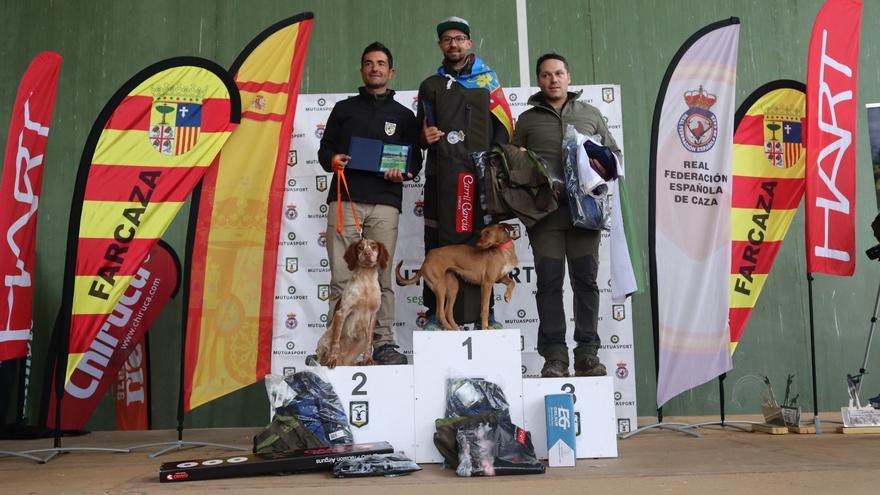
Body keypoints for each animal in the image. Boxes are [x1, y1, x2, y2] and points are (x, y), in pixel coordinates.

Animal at [314, 238, 386, 370]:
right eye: (360, 247)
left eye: (374, 247)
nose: (367, 253)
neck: (366, 280)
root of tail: (344, 363)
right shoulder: (342, 313)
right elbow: (335, 342)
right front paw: (332, 360)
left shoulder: (373, 315)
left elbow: (369, 343)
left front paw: (368, 360)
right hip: (324, 339)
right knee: (323, 355)